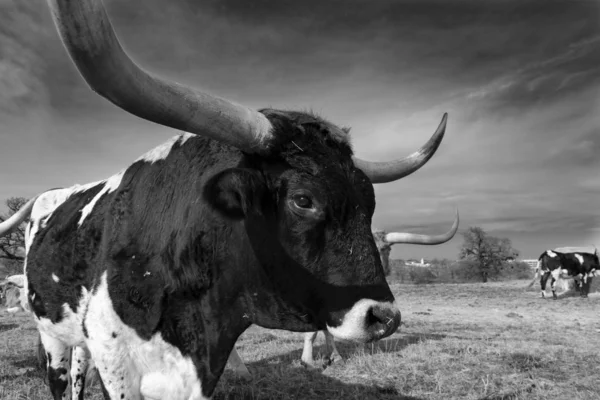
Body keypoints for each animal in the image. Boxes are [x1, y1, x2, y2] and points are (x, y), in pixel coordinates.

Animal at [0, 1, 454, 398]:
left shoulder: (200, 368)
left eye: (369, 201)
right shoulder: (117, 361)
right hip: (53, 334)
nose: (384, 318)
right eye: (303, 200)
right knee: (62, 380)